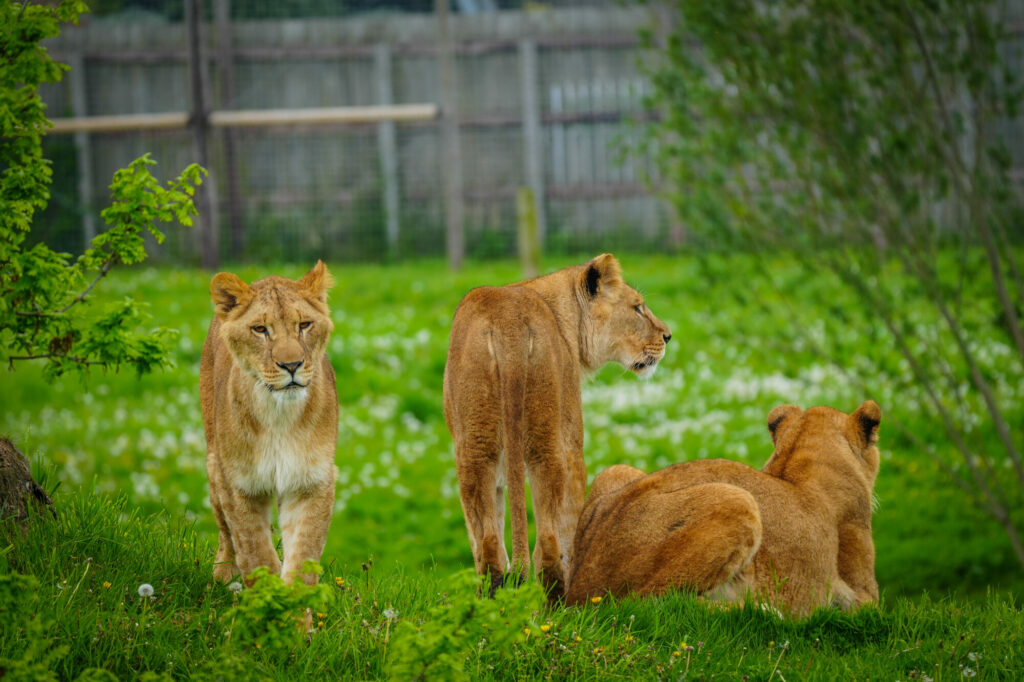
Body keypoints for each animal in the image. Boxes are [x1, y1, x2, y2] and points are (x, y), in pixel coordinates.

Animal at [200, 261, 338, 587]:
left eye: (304, 325)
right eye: (260, 329)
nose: (291, 365)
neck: (279, 417)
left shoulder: (312, 481)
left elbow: (303, 555)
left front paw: (294, 600)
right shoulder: (239, 483)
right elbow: (254, 550)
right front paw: (267, 595)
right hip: (213, 462)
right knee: (225, 531)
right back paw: (223, 573)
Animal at [443, 254, 672, 599]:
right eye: (637, 308)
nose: (668, 336)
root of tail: (508, 322)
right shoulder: (573, 439)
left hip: (474, 444)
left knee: (489, 545)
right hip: (547, 438)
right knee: (549, 543)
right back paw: (563, 602)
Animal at [566, 401, 882, 616]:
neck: (794, 464)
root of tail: (578, 590)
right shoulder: (861, 593)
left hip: (616, 471)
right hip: (738, 500)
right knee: (654, 604)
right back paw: (762, 611)